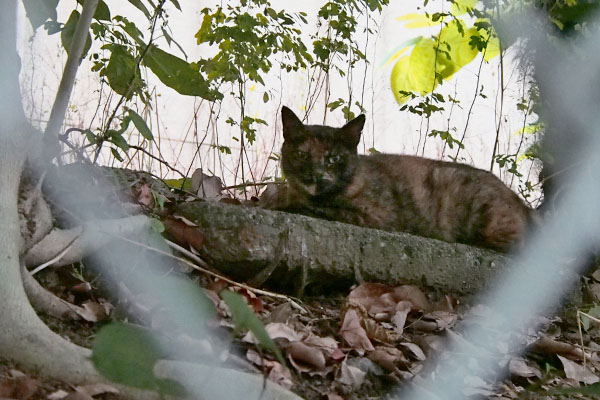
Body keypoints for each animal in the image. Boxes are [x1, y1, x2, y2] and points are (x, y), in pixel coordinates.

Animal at [264, 104, 532, 252]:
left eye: (333, 158)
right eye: (302, 155)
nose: (316, 176)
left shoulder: (373, 216)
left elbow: (311, 207)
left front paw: (278, 202)